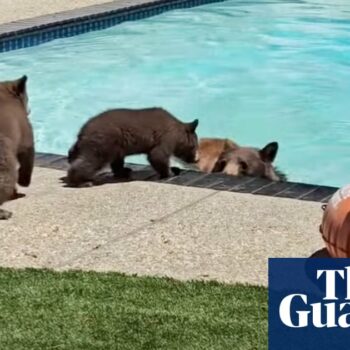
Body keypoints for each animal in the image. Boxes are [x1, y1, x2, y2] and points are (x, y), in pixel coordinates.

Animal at [67, 108, 200, 187]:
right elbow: (157, 155)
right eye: (194, 146)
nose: (196, 159)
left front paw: (174, 169)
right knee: (92, 160)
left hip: (116, 144)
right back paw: (81, 181)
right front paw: (170, 172)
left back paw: (124, 171)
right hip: (103, 142)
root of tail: (82, 131)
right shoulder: (167, 137)